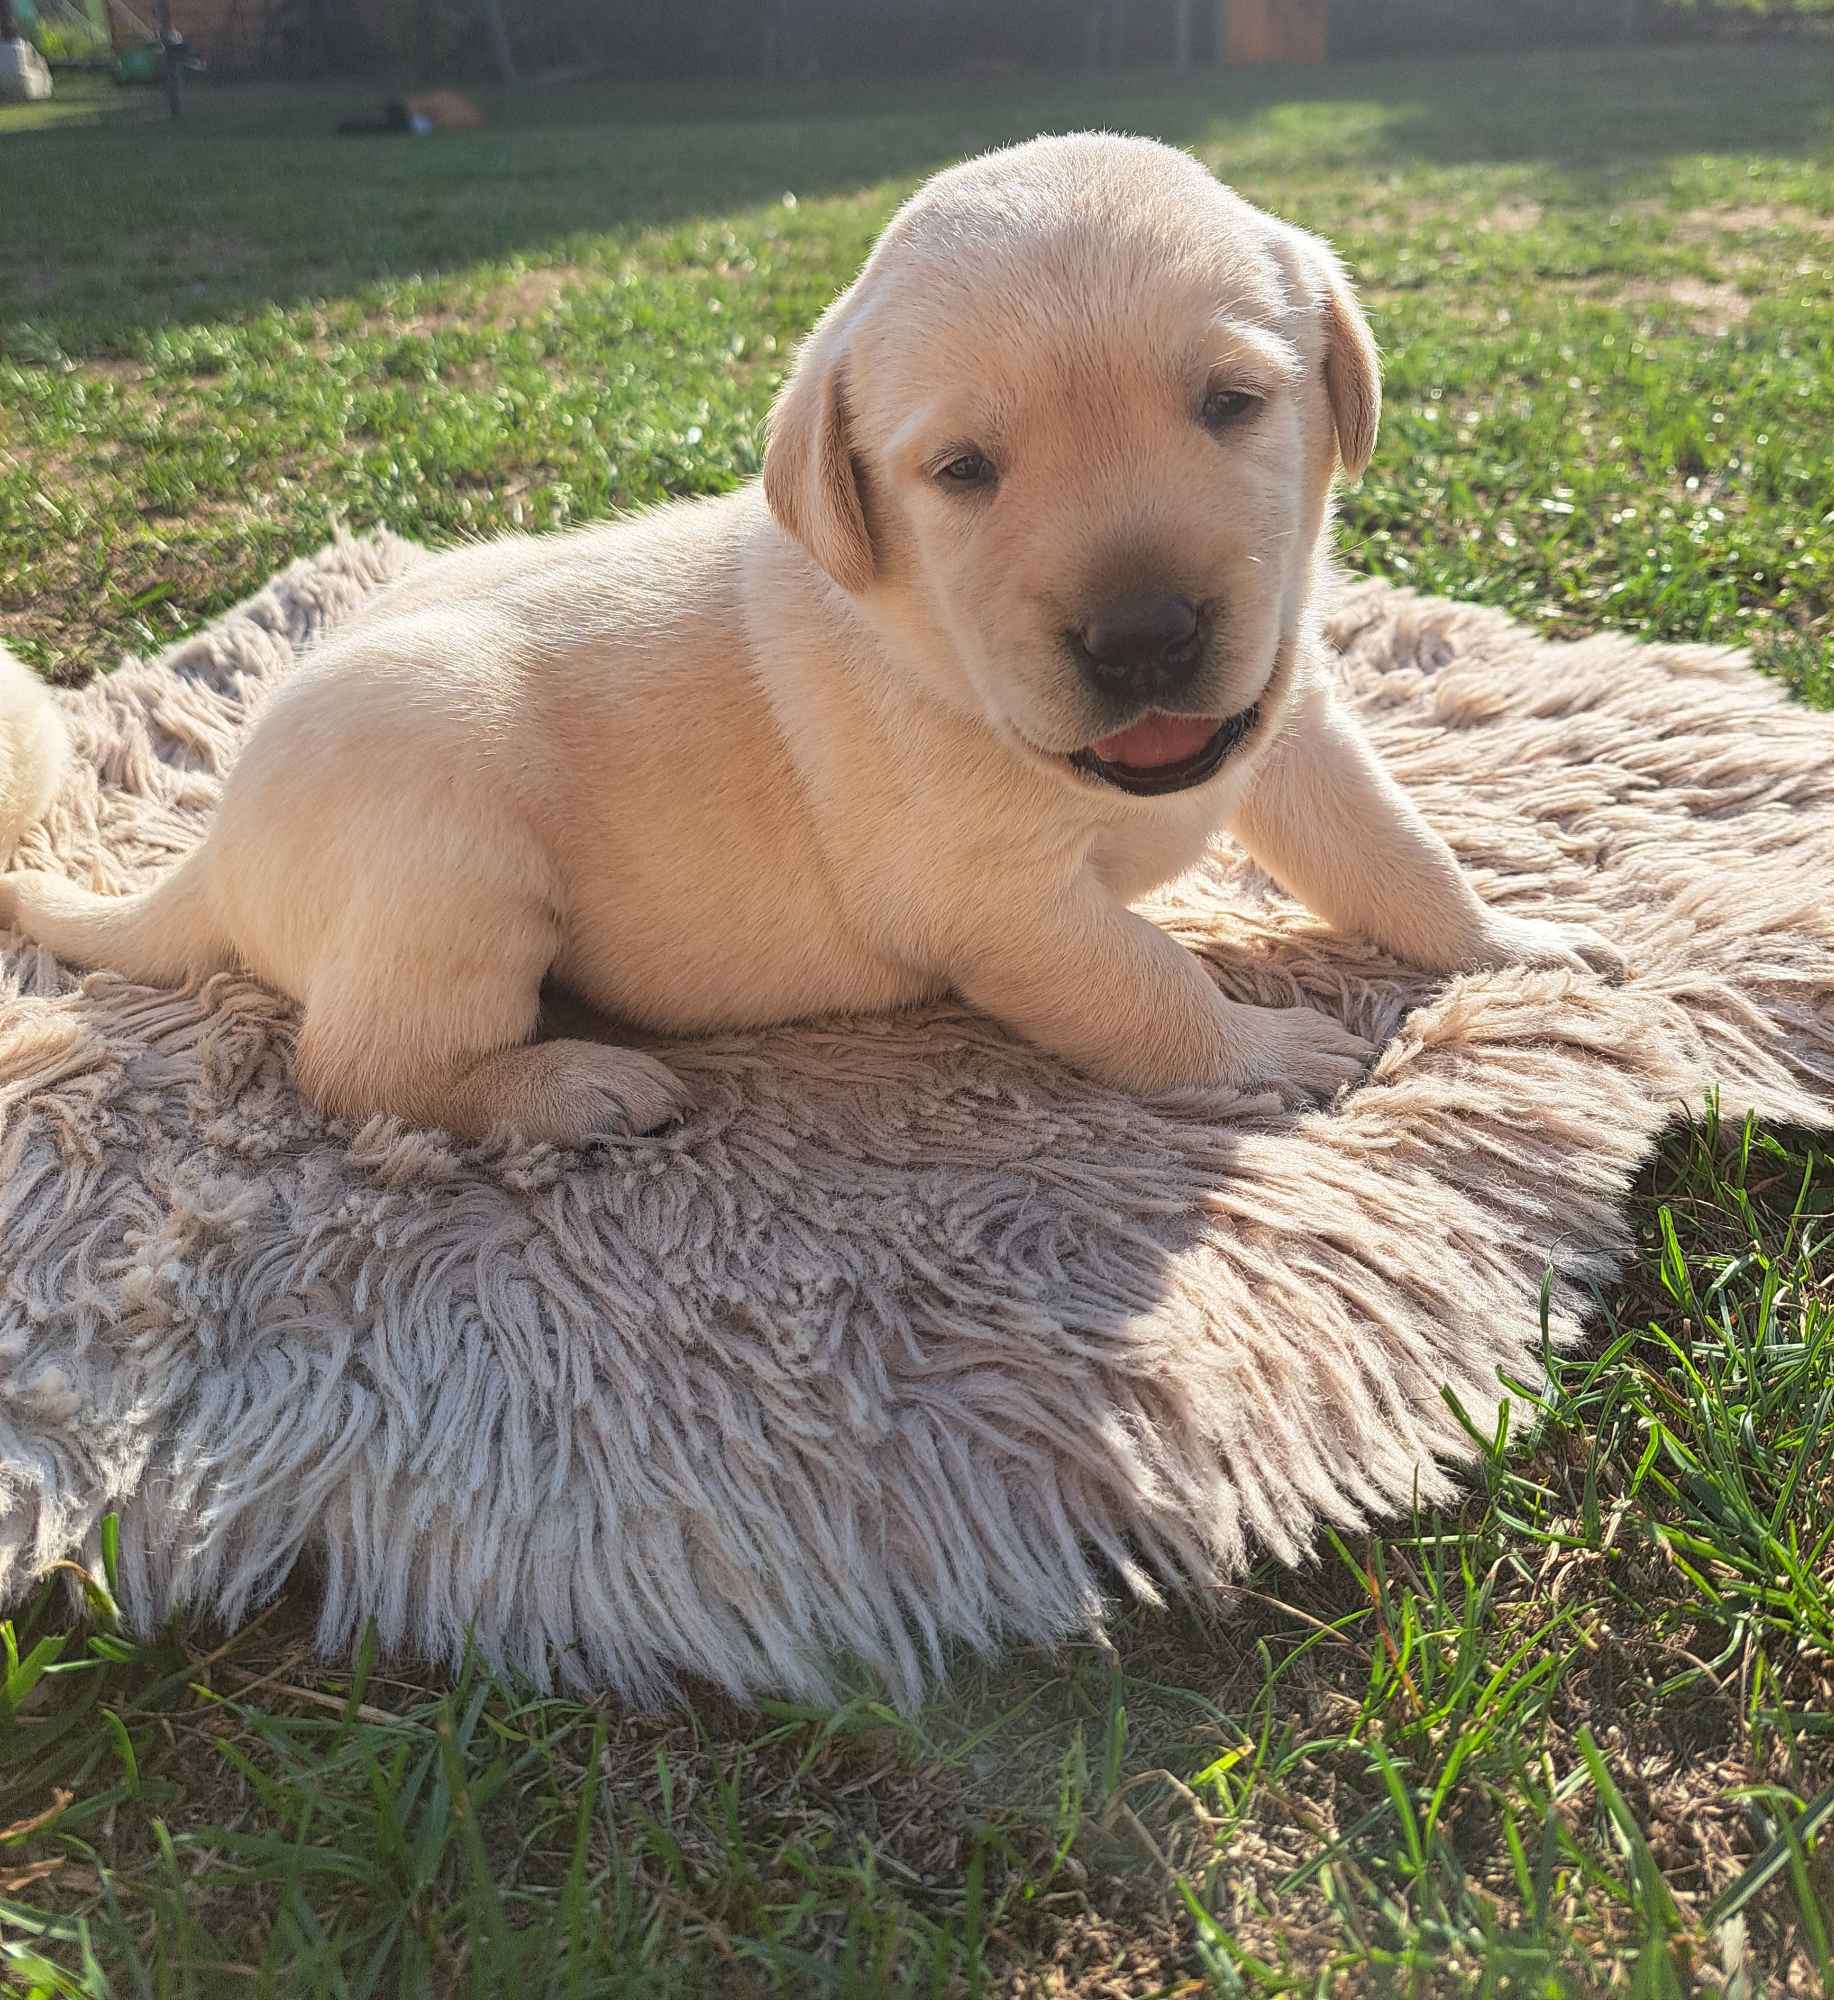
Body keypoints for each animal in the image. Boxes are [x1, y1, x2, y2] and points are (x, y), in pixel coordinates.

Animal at [0, 133, 1608, 1144]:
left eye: (1233, 403)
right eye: (961, 471)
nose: (1144, 637)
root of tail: (210, 846)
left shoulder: (1290, 723)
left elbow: (1395, 849)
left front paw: (1515, 941)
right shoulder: (996, 904)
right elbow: (1144, 981)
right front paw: (1259, 1050)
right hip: (442, 831)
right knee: (359, 1067)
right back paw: (570, 1089)